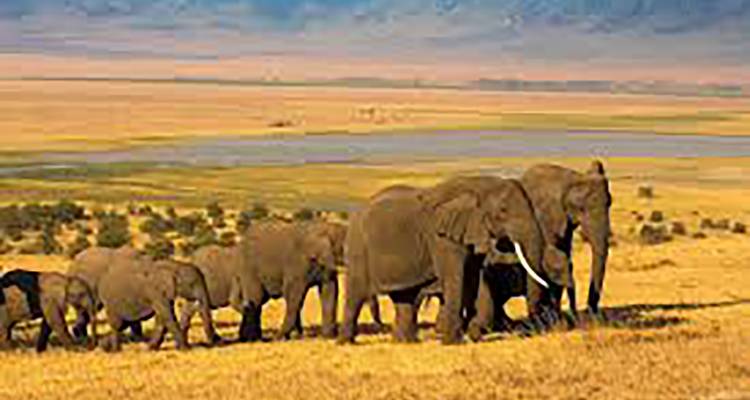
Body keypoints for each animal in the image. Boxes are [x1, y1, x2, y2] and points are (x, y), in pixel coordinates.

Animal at [340, 176, 564, 345]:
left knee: (405, 296)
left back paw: (406, 342)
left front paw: (473, 335)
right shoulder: (441, 238)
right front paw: (453, 342)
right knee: (356, 293)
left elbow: (473, 279)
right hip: (358, 246)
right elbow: (455, 278)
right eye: (503, 211)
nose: (531, 329)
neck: (478, 185)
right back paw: (347, 343)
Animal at [521, 161, 612, 316]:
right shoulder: (546, 217)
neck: (571, 180)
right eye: (581, 208)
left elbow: (564, 253)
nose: (590, 310)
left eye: (610, 203)